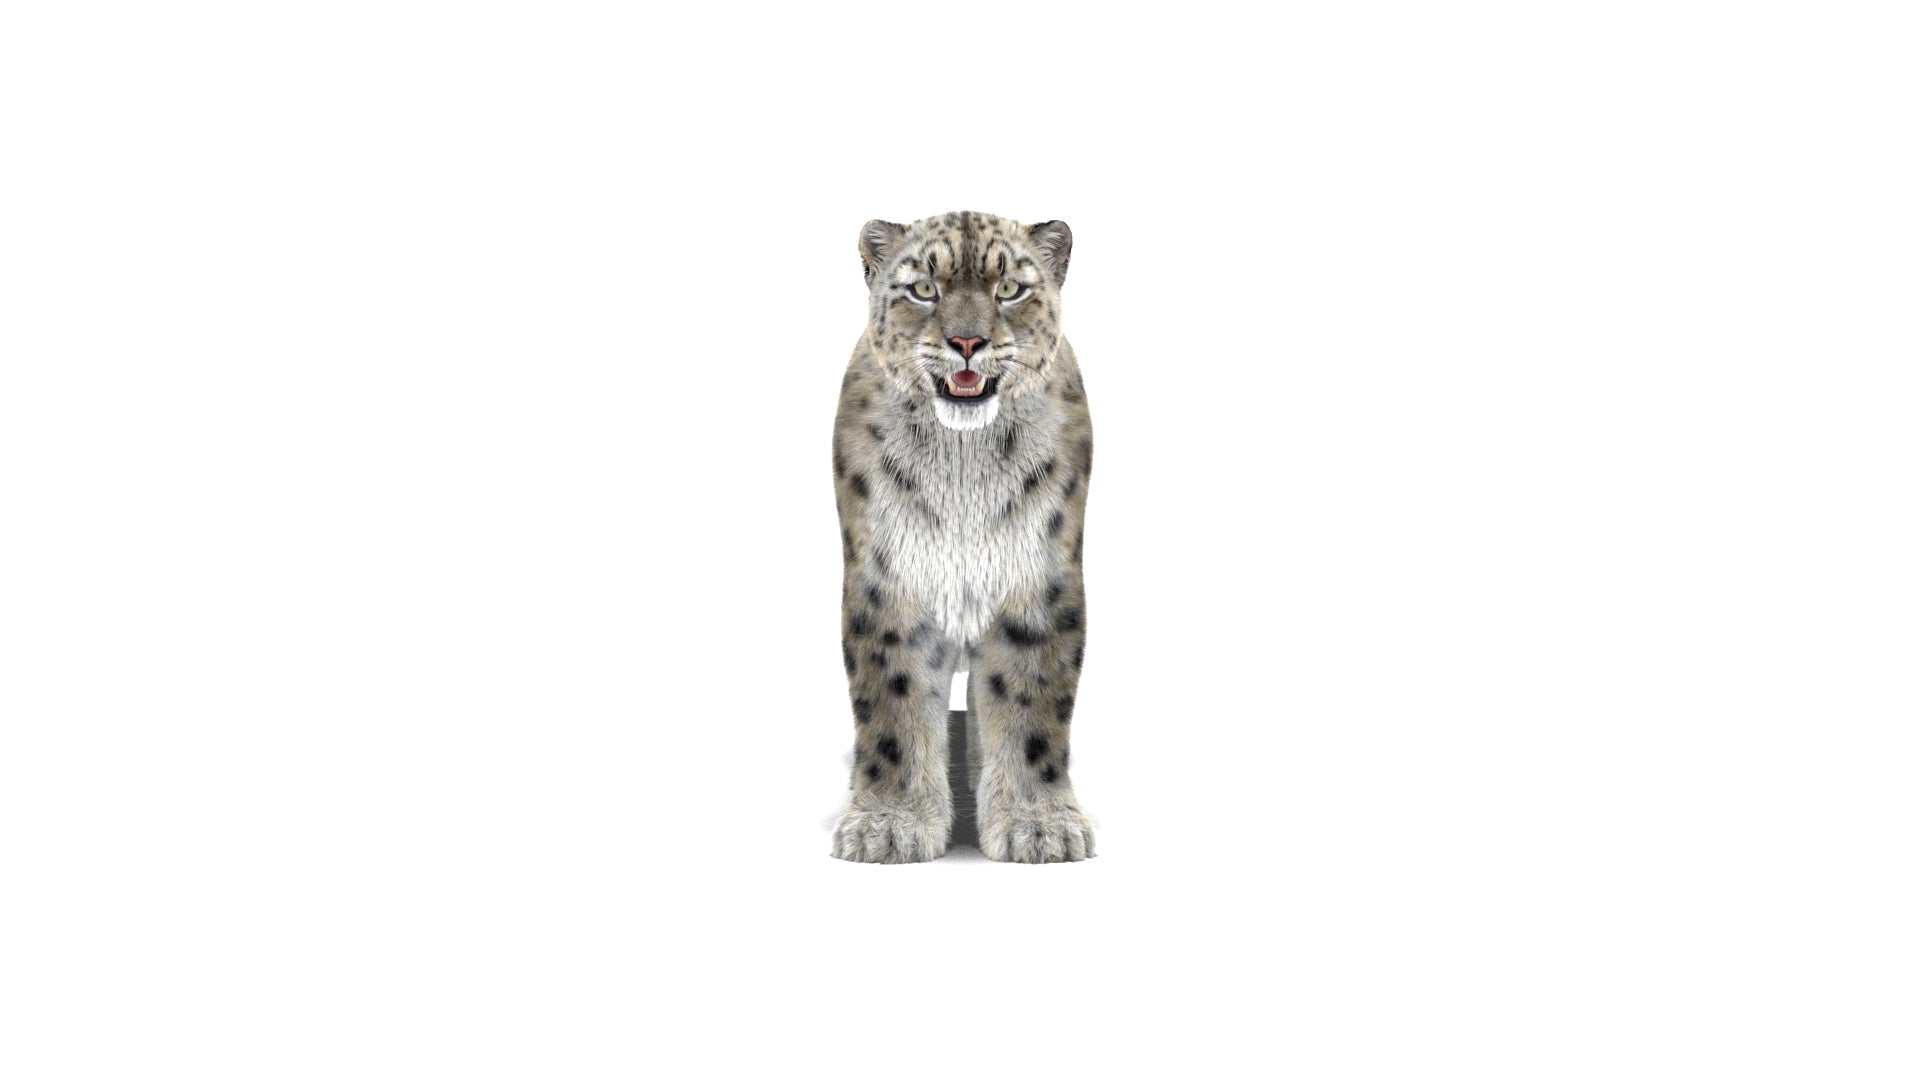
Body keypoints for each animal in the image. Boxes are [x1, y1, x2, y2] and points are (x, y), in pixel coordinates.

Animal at [830, 211, 1095, 864]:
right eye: (925, 289)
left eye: (1010, 289)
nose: (968, 343)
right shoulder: (891, 581)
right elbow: (893, 702)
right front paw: (888, 824)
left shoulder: (1036, 581)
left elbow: (1030, 702)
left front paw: (1039, 825)